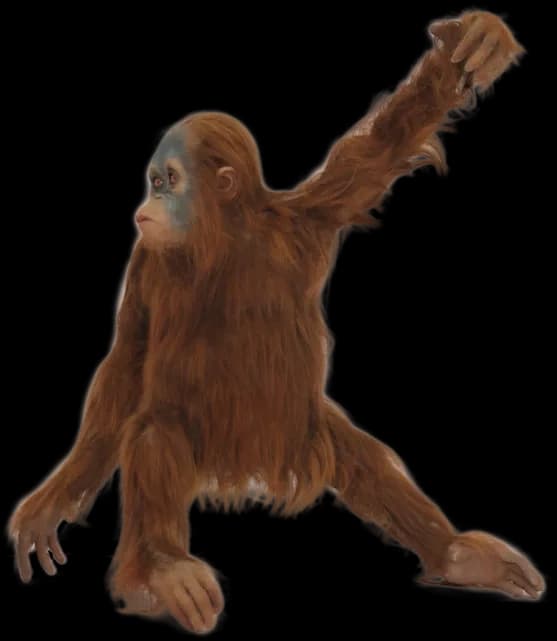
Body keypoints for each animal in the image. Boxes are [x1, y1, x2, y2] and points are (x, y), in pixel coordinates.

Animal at [8, 10, 545, 635]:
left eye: (166, 180)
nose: (146, 205)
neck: (223, 241)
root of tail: (241, 470)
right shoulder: (146, 260)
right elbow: (128, 359)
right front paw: (54, 497)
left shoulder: (310, 216)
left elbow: (385, 146)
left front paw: (479, 39)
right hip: (215, 439)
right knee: (155, 436)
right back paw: (159, 573)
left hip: (297, 433)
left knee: (361, 456)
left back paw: (456, 556)